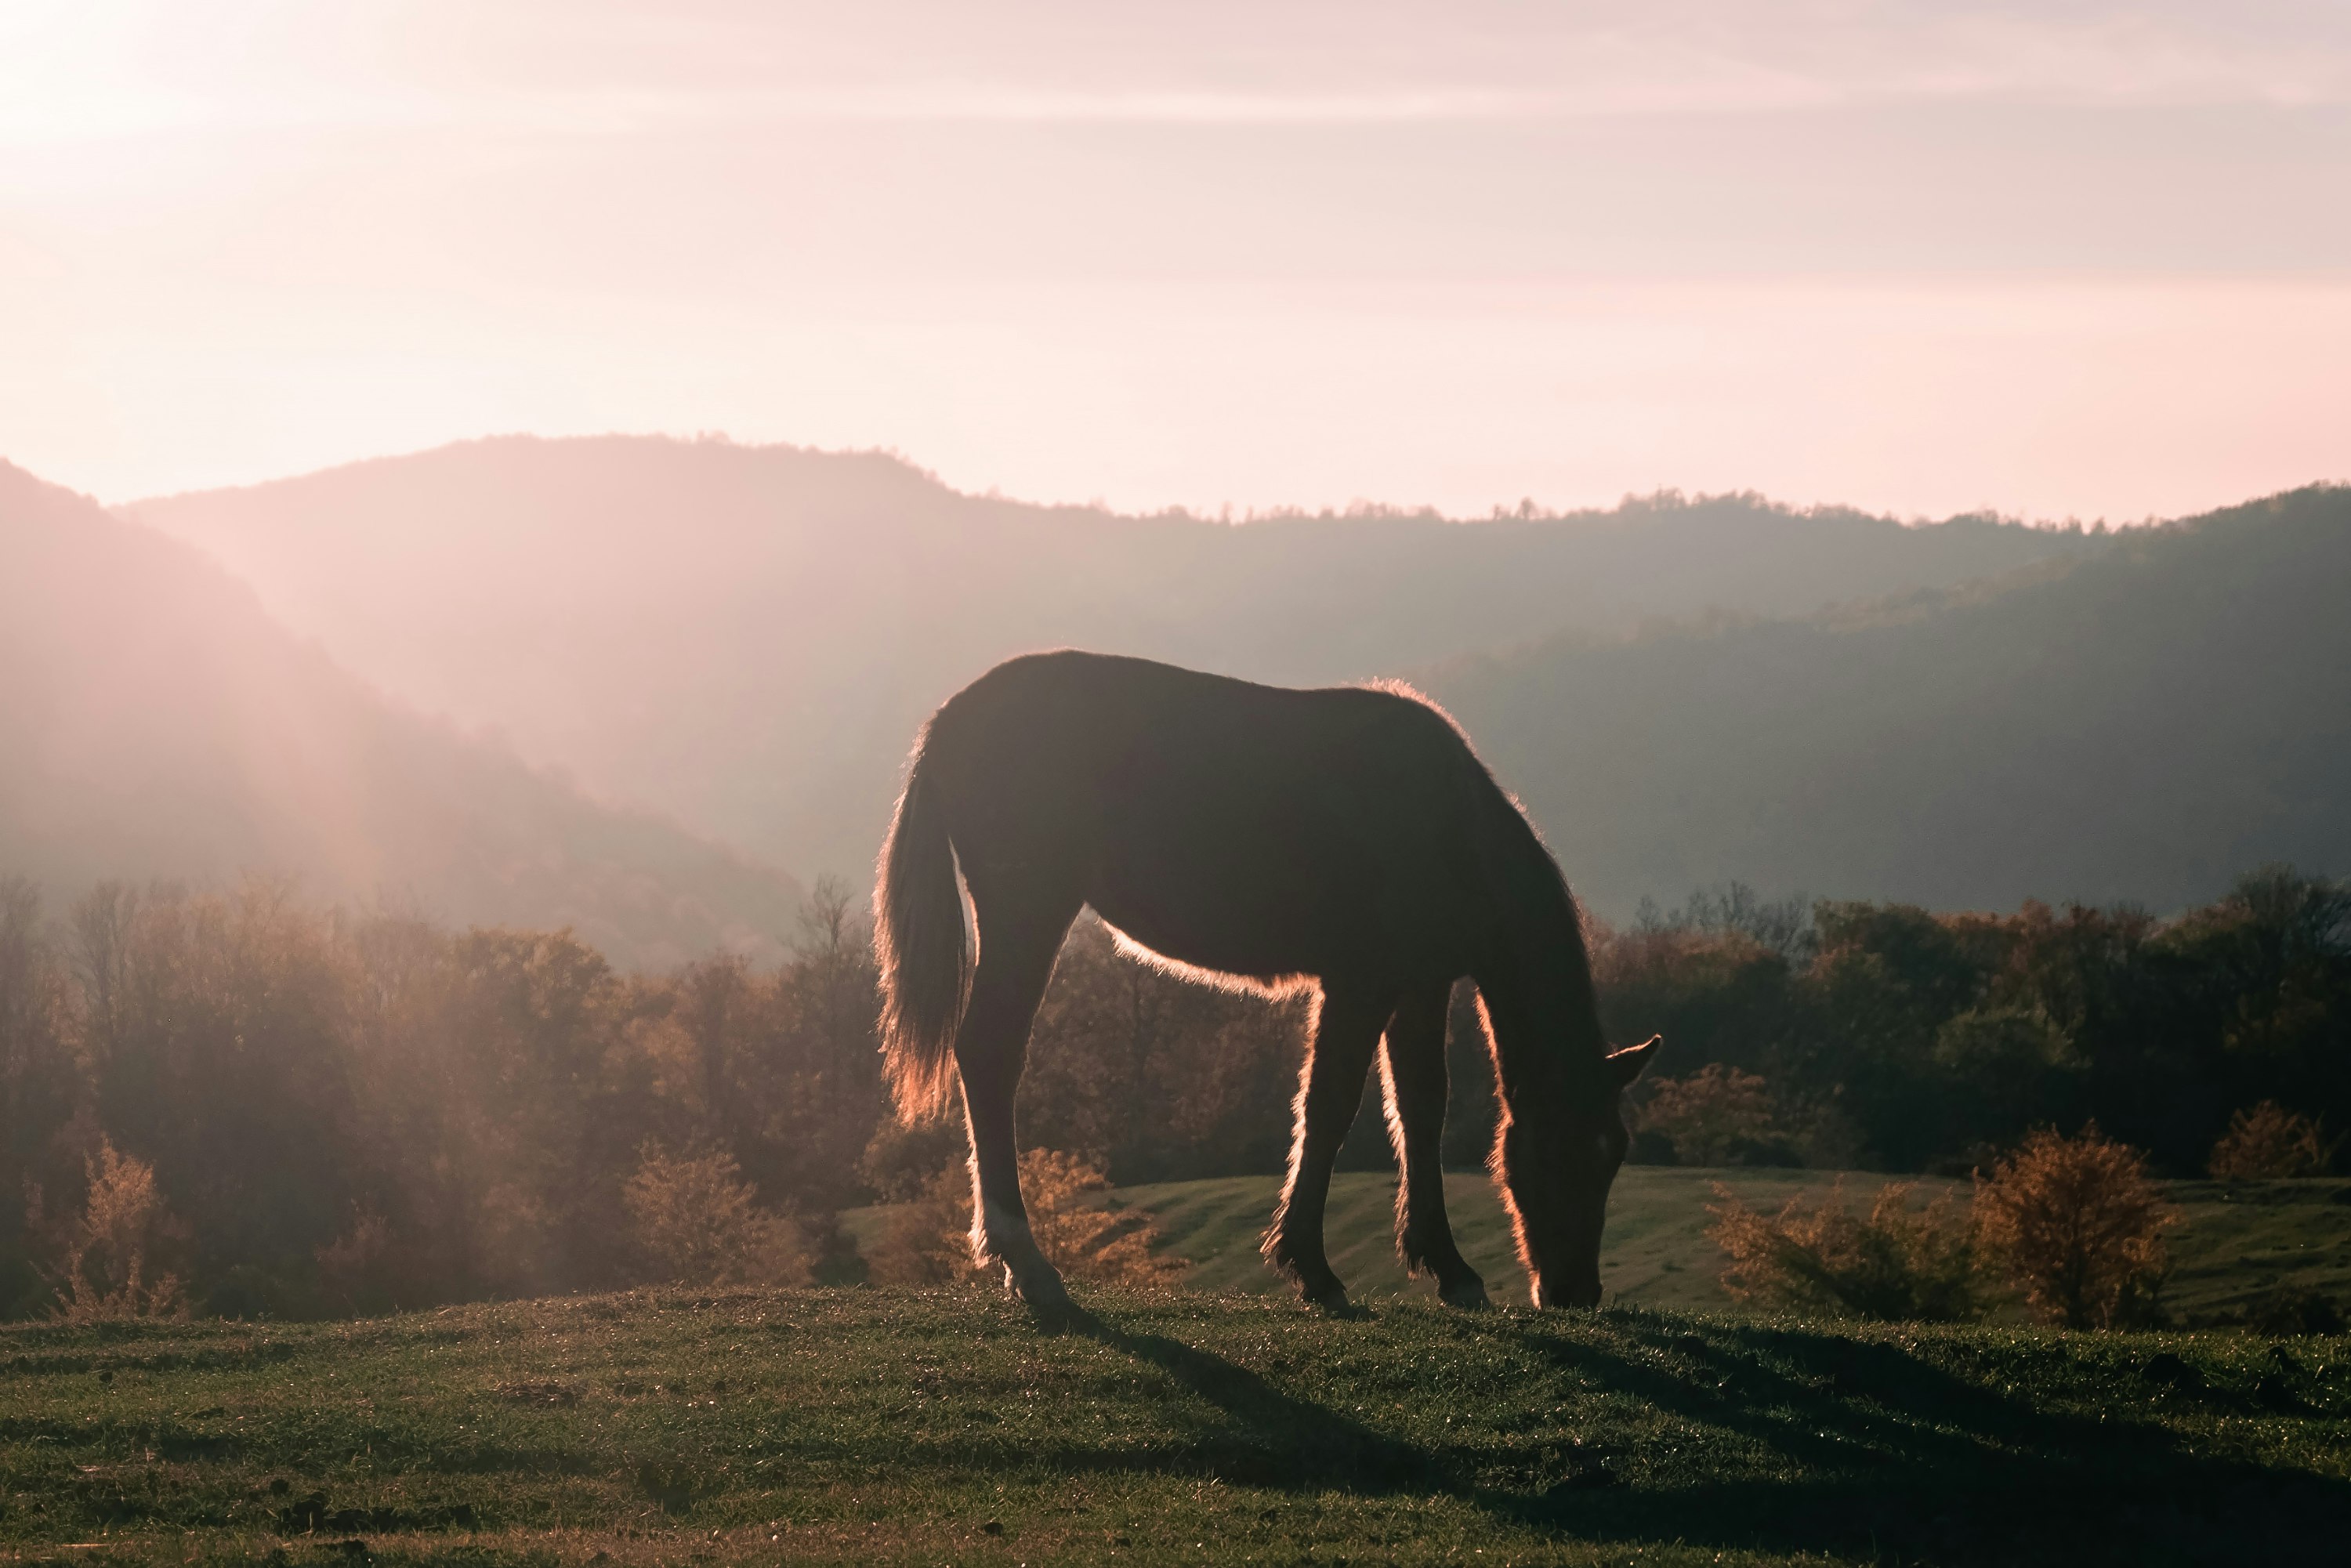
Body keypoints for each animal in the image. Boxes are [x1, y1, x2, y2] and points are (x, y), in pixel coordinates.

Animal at [875, 649, 1665, 1316]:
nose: (1575, 1291)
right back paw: (1028, 1262)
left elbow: (1420, 1109)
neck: (1444, 822)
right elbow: (1329, 1108)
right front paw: (1312, 1268)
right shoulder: (1360, 983)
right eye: (1562, 1148)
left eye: (1615, 1153)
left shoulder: (1419, 984)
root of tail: (947, 722)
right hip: (1028, 912)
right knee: (990, 1054)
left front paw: (1447, 1265)